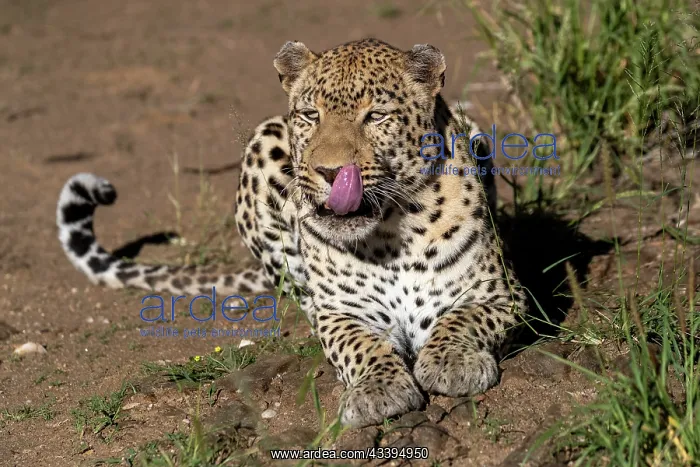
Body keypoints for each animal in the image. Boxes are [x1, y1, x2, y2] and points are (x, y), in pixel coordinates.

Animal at [56, 38, 528, 429]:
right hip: (262, 146)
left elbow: (461, 319)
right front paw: (378, 391)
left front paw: (454, 362)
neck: (394, 231)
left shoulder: (501, 294)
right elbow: (361, 346)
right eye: (310, 115)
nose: (330, 172)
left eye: (376, 116)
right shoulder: (342, 314)